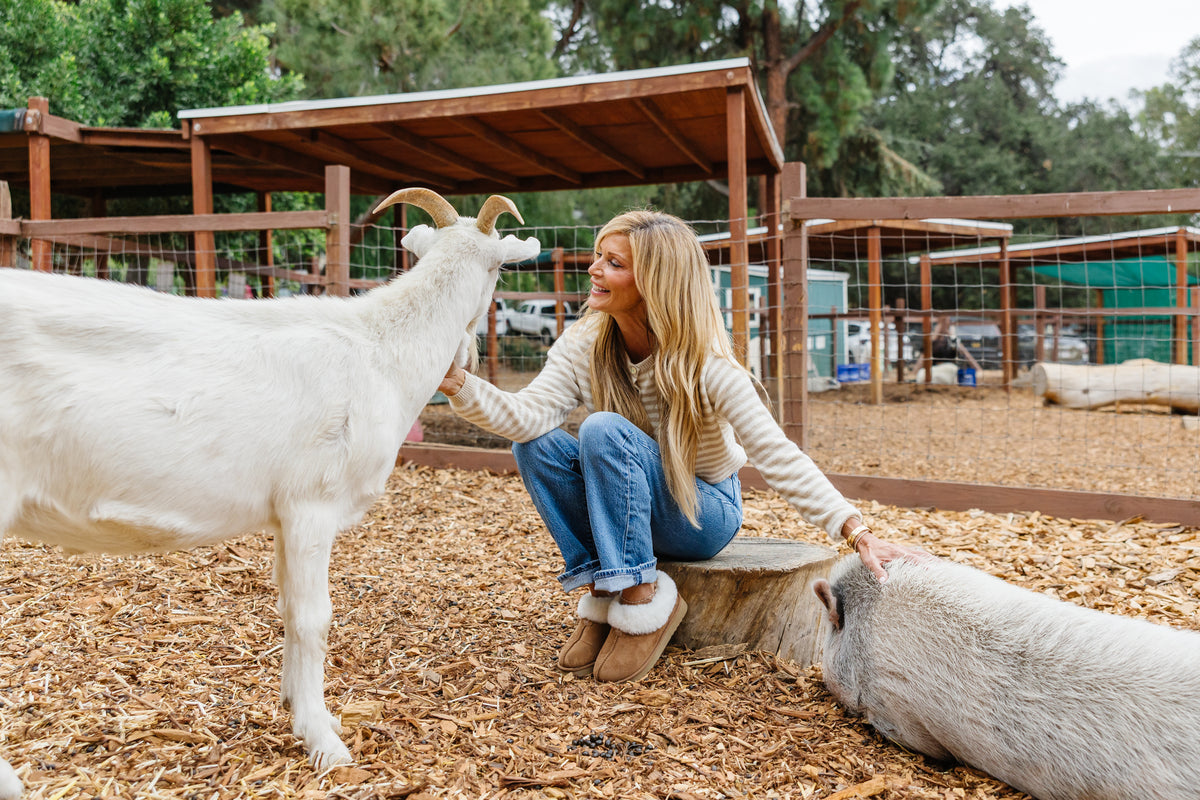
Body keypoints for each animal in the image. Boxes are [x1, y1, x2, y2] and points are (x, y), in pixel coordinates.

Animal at [0, 188, 540, 796]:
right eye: (499, 270)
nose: (469, 356)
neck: (380, 351)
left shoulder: (284, 515)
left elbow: (285, 606)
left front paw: (299, 706)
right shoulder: (311, 504)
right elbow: (313, 616)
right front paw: (323, 739)